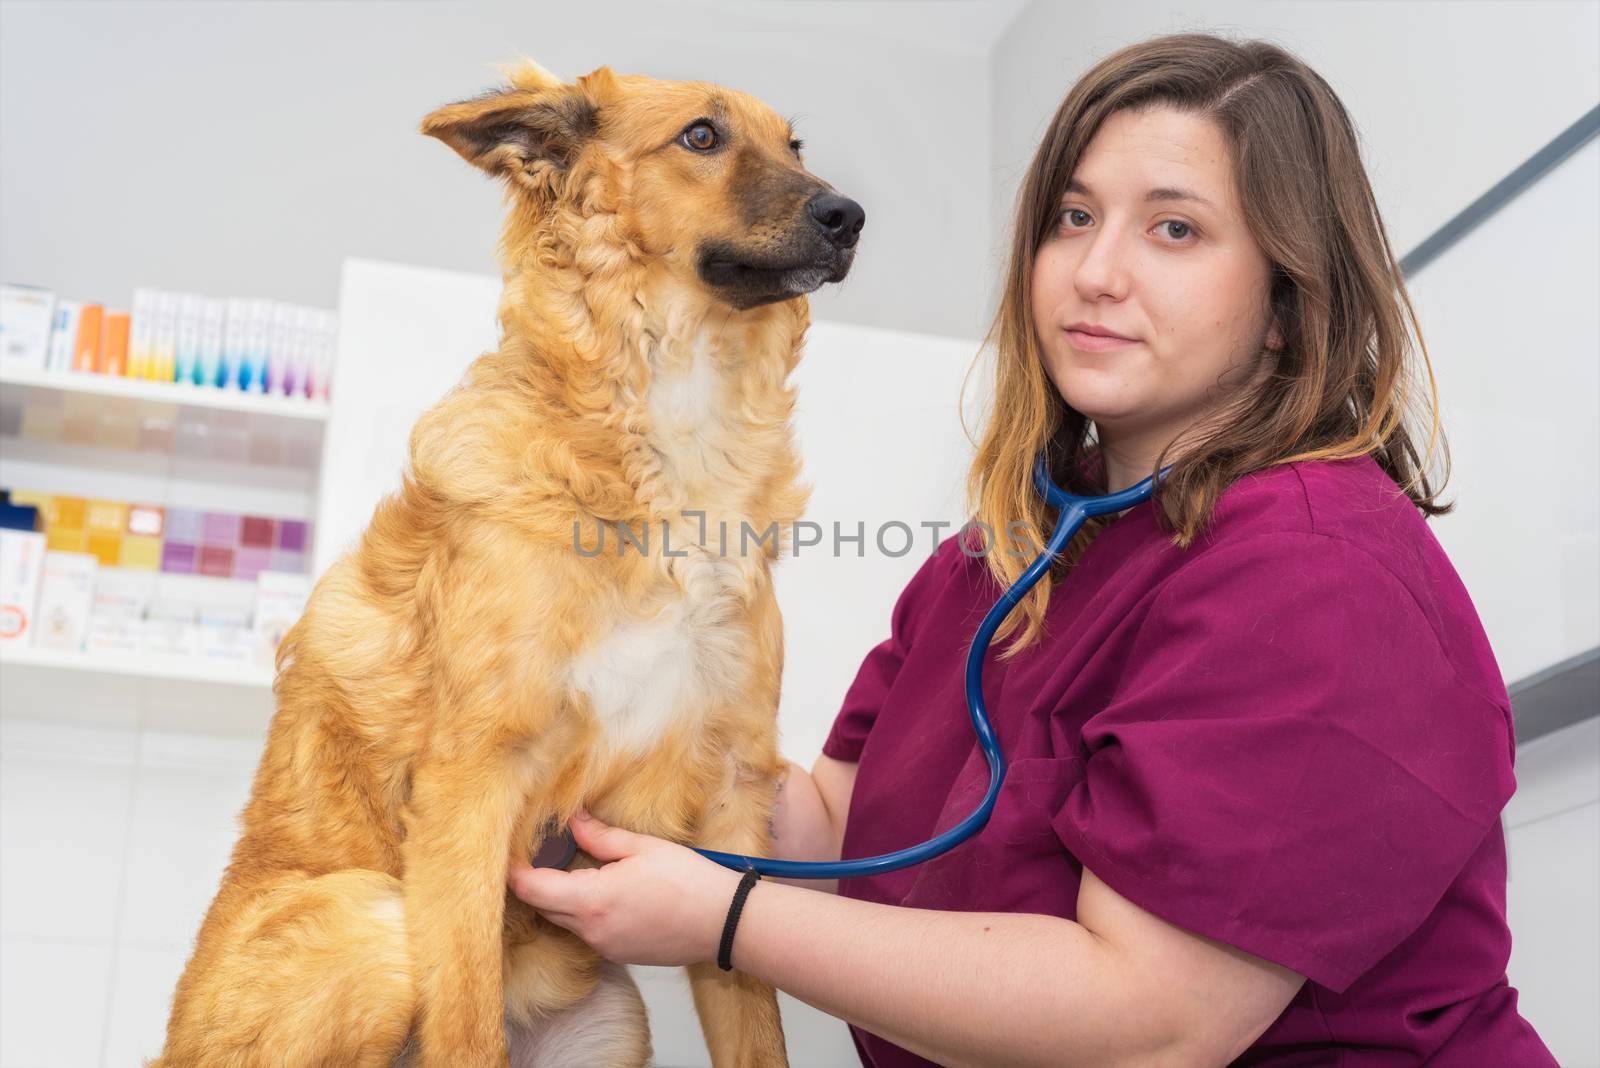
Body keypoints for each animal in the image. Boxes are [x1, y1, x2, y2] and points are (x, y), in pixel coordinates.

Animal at [152, 62, 864, 1068]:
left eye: (794, 146)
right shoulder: (473, 787)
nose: (851, 216)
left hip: (613, 1021)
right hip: (371, 927)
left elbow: (756, 1027)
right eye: (701, 137)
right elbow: (464, 1023)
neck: (674, 429)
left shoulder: (732, 797)